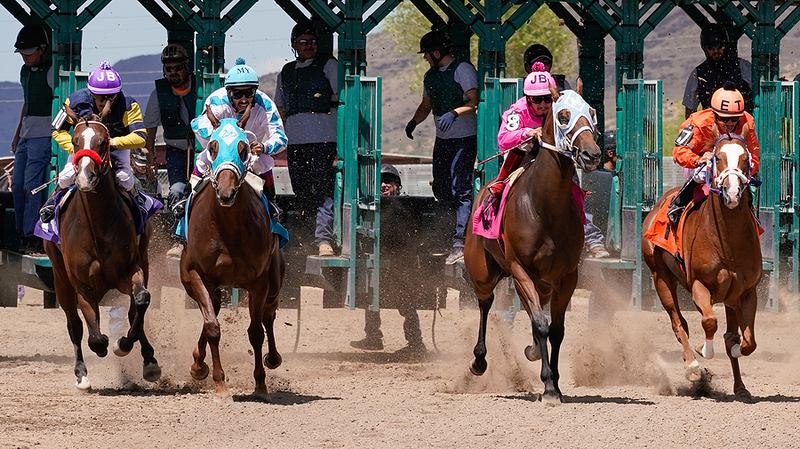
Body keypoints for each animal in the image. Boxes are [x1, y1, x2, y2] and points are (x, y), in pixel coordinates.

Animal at [43, 113, 159, 388]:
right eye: (75, 141)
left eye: (103, 142)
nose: (86, 177)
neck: (97, 226)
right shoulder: (81, 283)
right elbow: (91, 331)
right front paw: (102, 345)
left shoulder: (130, 269)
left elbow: (141, 300)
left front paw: (124, 345)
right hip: (60, 278)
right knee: (74, 324)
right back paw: (81, 373)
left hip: (144, 260)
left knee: (135, 308)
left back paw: (148, 360)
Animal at [180, 108, 286, 396]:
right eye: (213, 147)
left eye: (244, 147)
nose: (226, 192)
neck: (226, 227)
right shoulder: (196, 274)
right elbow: (212, 327)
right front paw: (218, 381)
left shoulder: (258, 281)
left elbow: (256, 332)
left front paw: (260, 383)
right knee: (213, 312)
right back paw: (198, 364)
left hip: (274, 282)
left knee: (269, 315)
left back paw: (273, 358)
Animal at [462, 85, 600, 402]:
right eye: (563, 115)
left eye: (592, 111)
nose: (592, 154)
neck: (545, 207)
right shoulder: (519, 269)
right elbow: (540, 324)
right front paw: (548, 386)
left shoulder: (567, 276)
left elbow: (555, 329)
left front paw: (555, 382)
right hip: (483, 272)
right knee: (486, 304)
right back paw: (479, 361)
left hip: (543, 283)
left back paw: (533, 350)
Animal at [644, 130, 764, 400]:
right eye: (717, 157)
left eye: (745, 159)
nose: (732, 192)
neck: (728, 243)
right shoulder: (699, 284)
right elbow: (709, 321)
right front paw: (702, 352)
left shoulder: (746, 292)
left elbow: (747, 342)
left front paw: (736, 349)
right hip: (660, 277)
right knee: (679, 323)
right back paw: (692, 366)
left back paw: (740, 387)